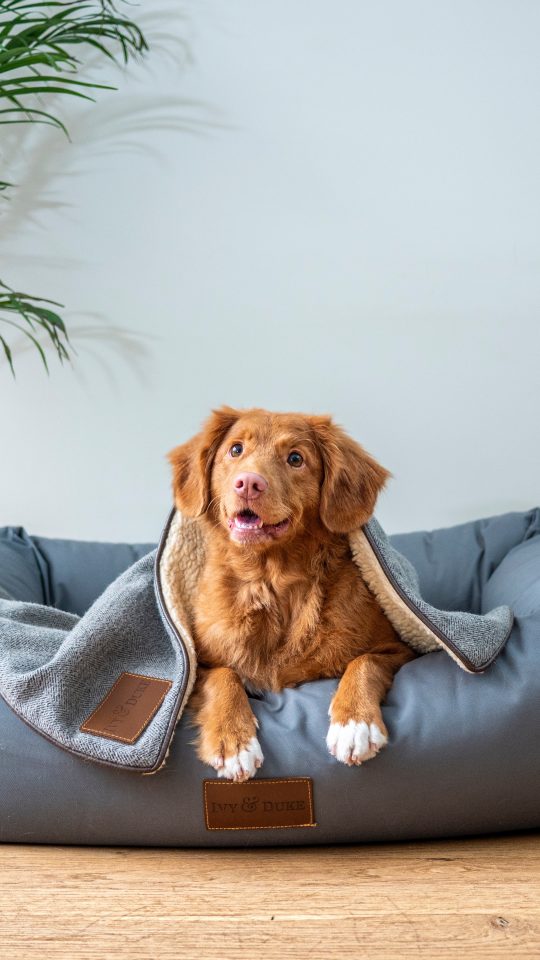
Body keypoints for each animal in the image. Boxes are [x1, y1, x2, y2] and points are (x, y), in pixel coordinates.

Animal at [169, 404, 414, 780]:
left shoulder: (399, 649)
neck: (271, 581)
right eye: (236, 449)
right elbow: (223, 676)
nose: (249, 483)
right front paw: (234, 740)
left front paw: (354, 723)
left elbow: (364, 661)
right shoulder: (197, 665)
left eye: (296, 458)